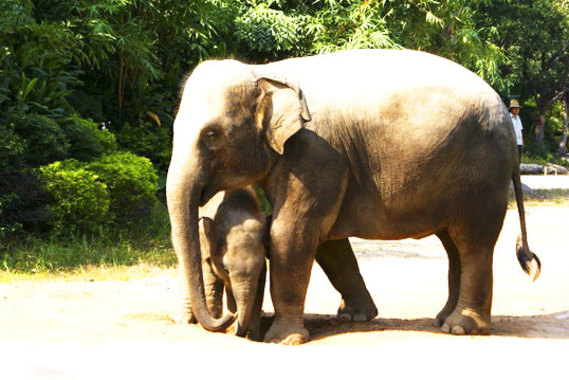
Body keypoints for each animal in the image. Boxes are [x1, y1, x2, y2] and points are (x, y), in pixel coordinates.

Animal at [176, 186, 268, 340]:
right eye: (225, 268)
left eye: (260, 265)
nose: (233, 315)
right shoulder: (207, 253)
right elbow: (210, 287)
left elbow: (258, 293)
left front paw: (252, 337)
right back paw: (184, 320)